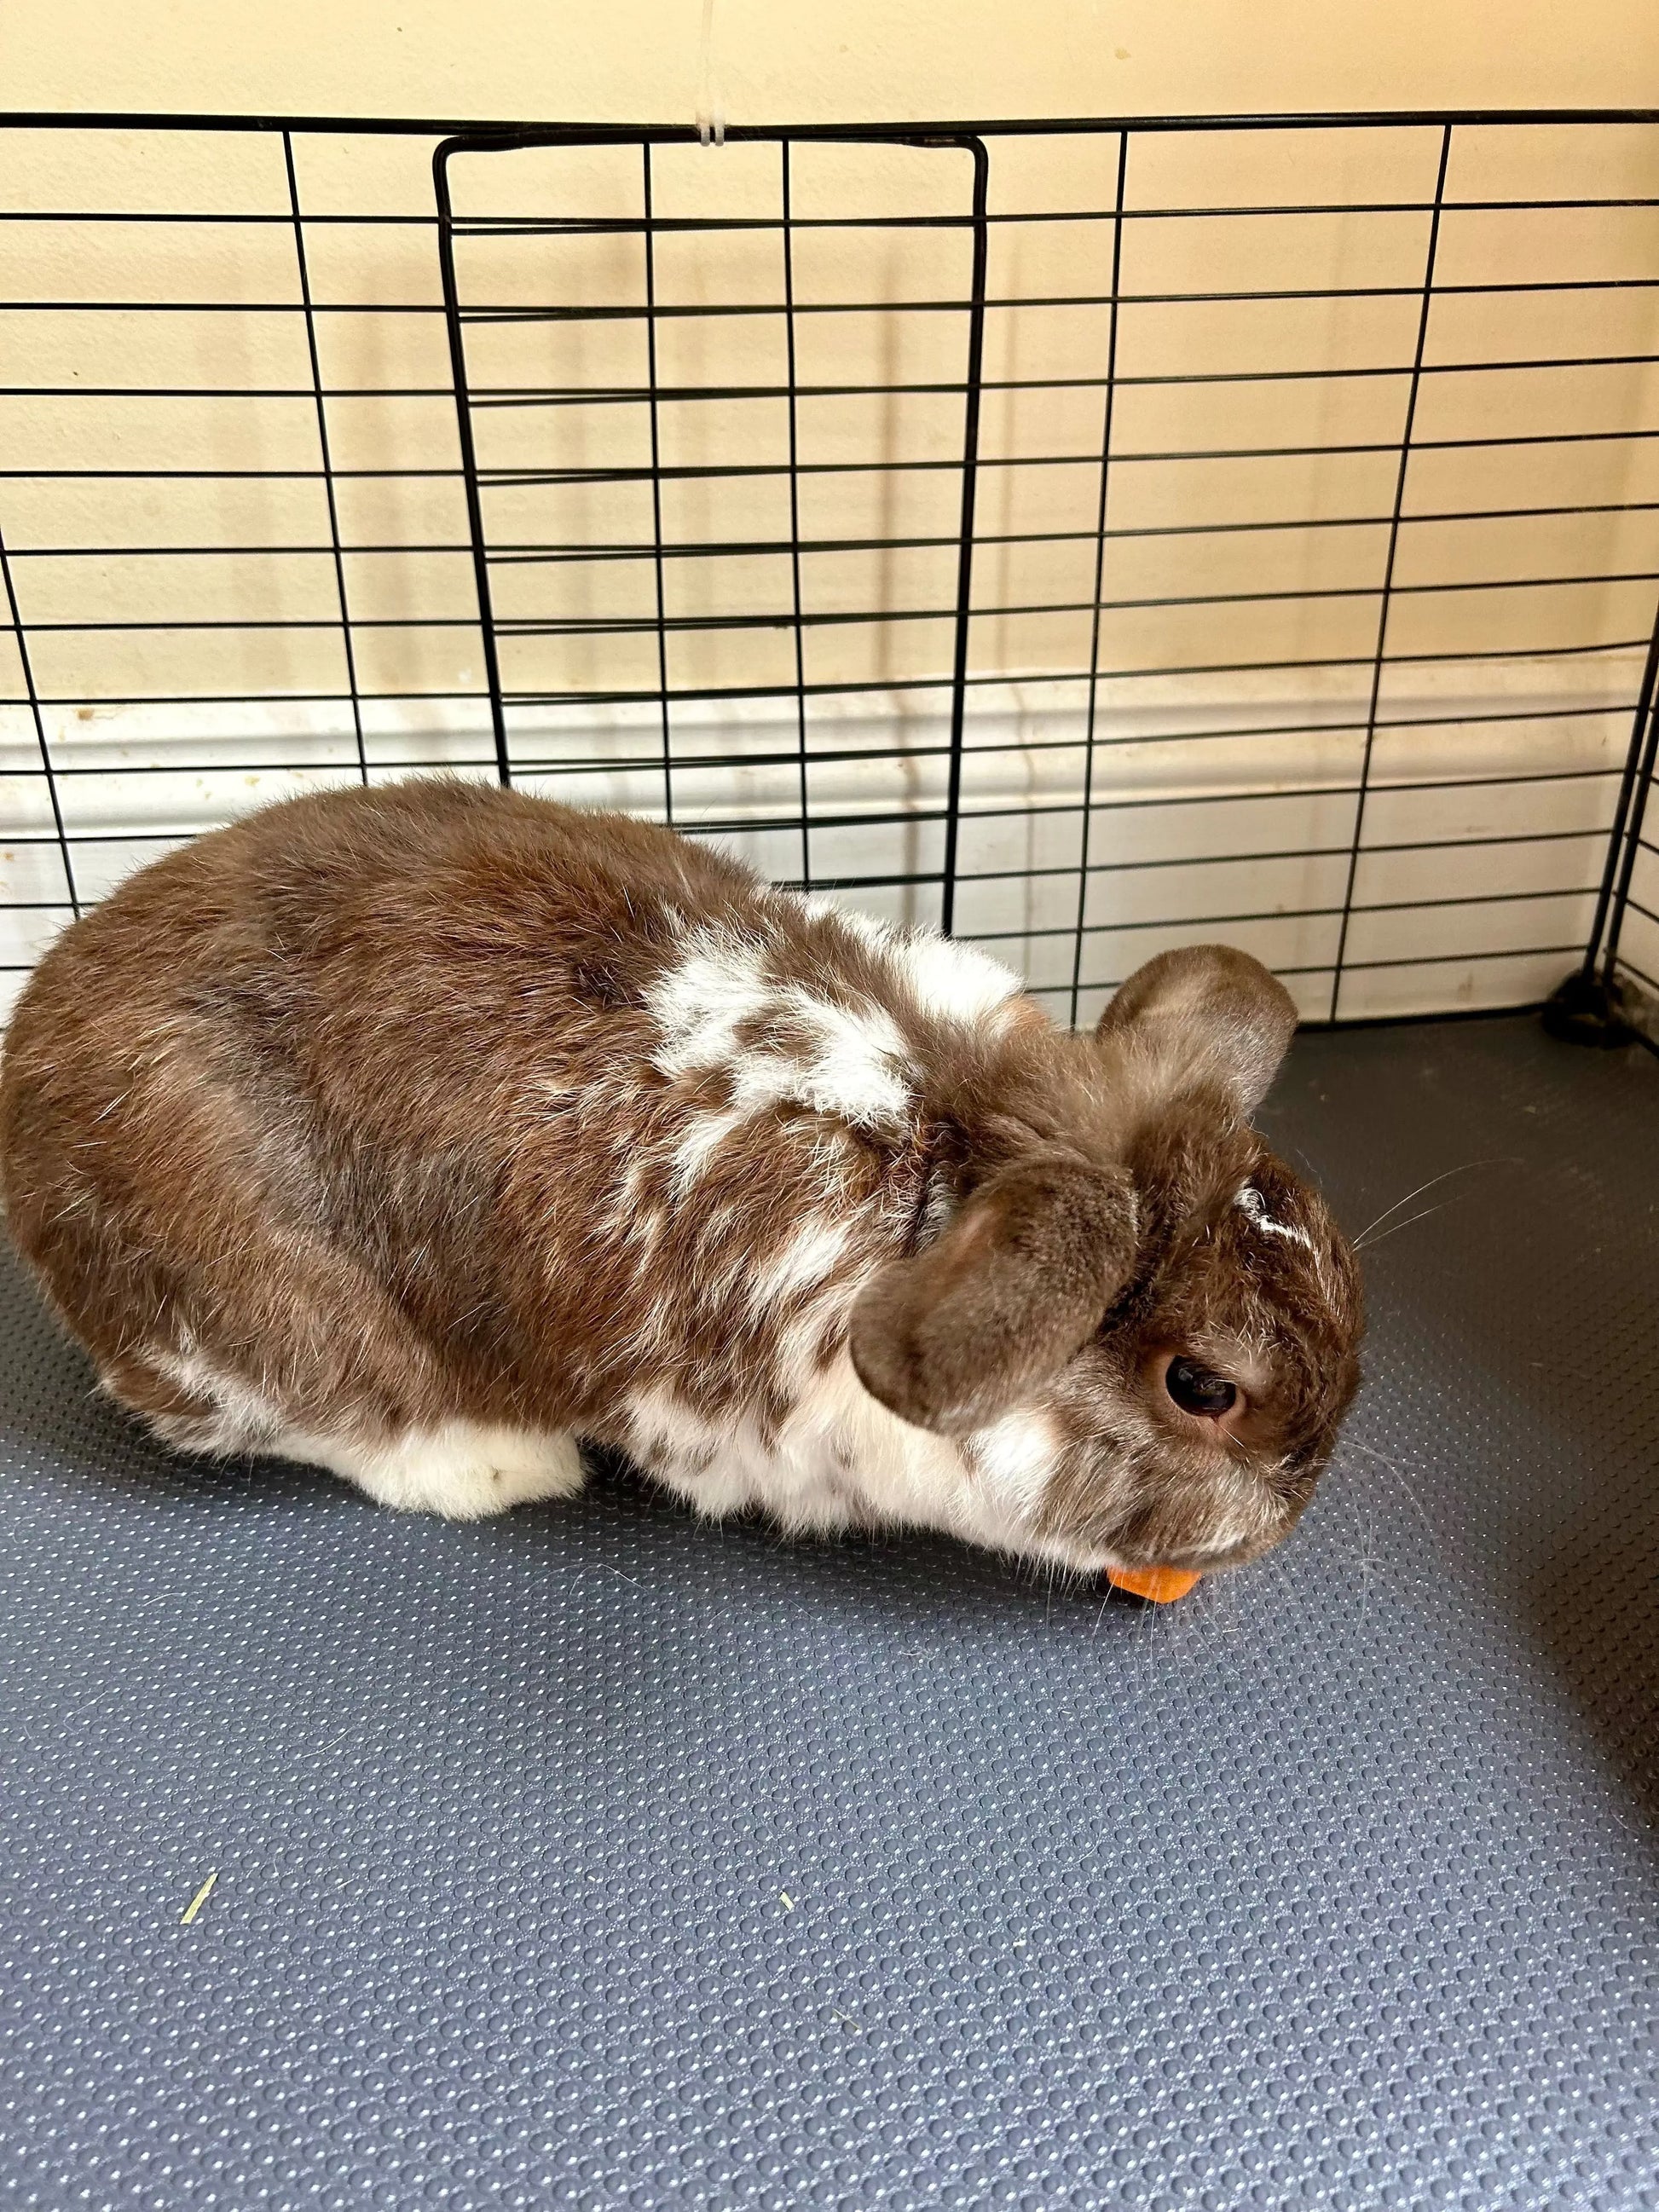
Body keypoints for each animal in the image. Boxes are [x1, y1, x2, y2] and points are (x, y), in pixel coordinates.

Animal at [0, 777, 1363, 1579]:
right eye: (1202, 1388)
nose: (1292, 1511)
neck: (950, 1144)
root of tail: (30, 1080)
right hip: (271, 1314)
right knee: (335, 1416)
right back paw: (500, 1464)